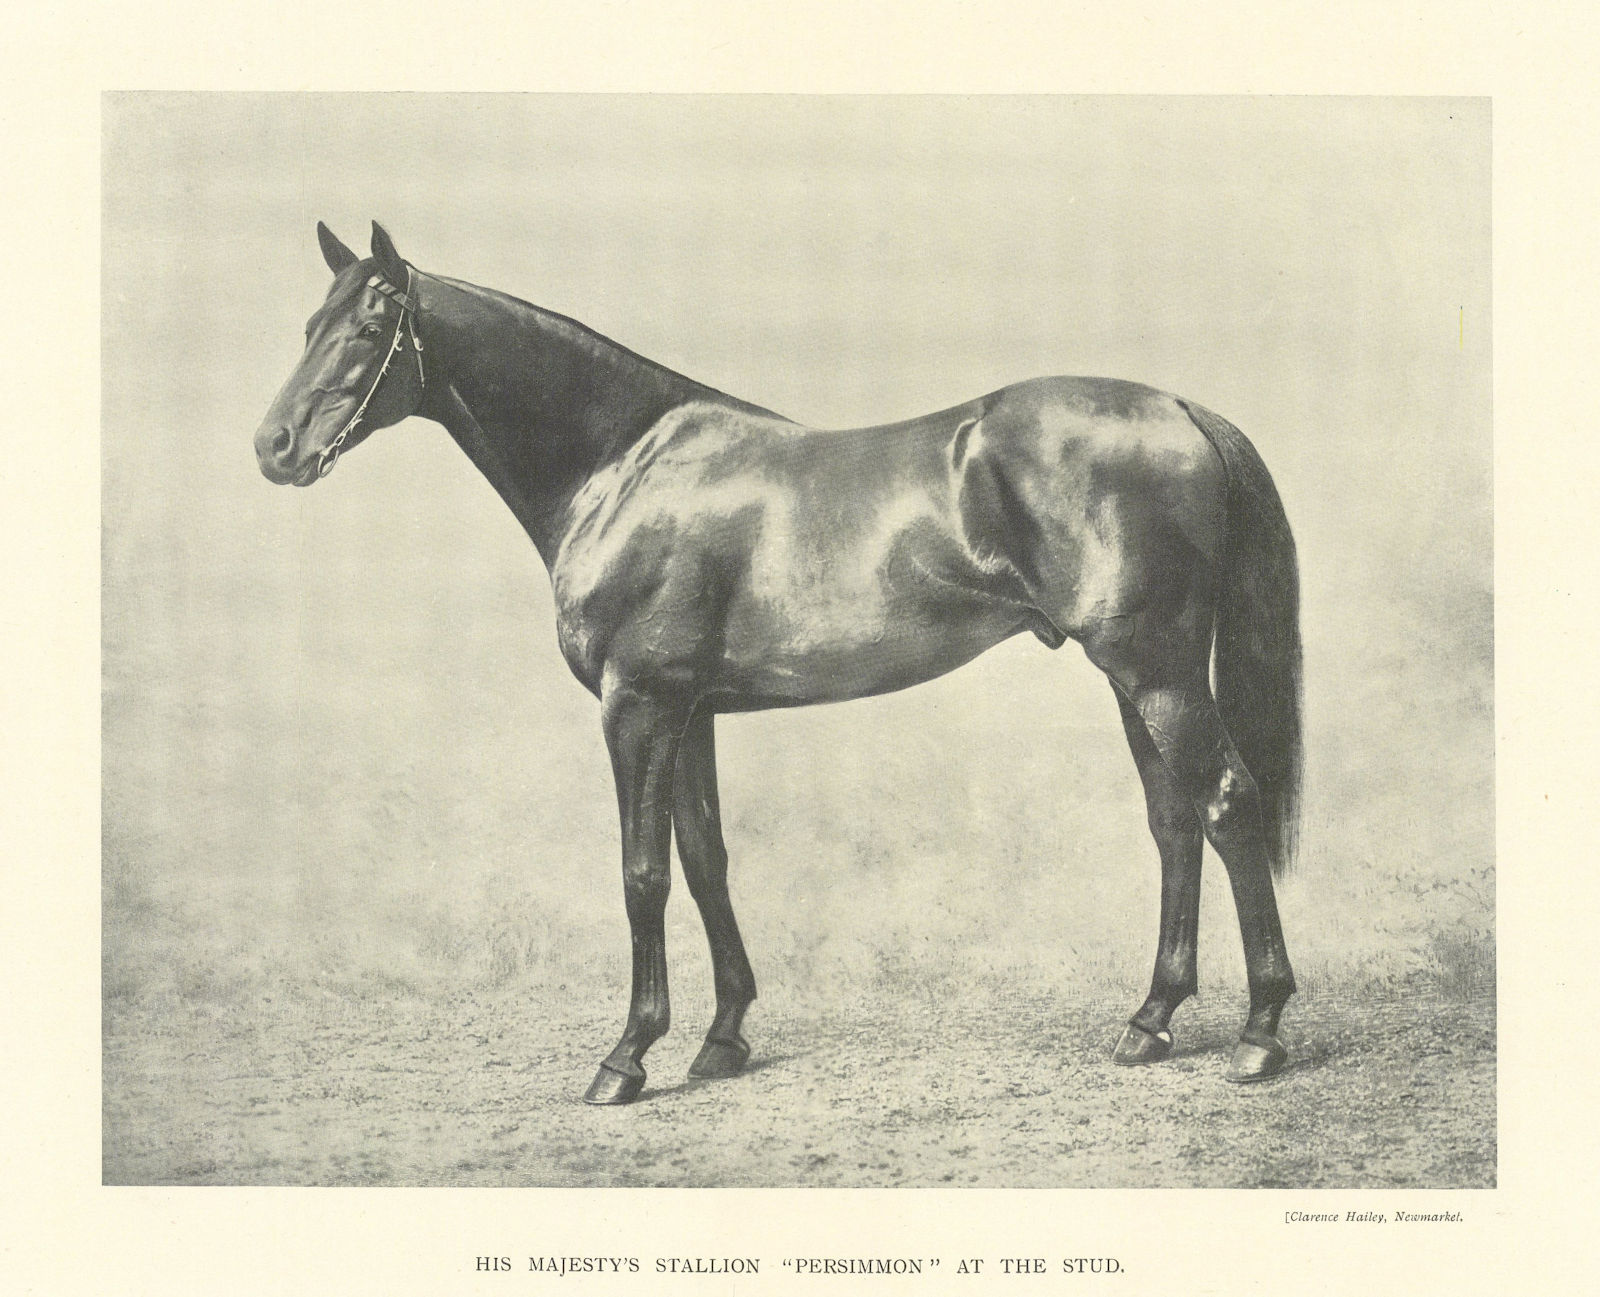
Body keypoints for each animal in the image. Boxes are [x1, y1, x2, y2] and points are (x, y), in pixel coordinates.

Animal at [249, 223, 1299, 1106]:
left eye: (371, 325)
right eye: (309, 324)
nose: (274, 446)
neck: (623, 466)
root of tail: (1179, 409)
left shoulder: (637, 707)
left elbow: (641, 873)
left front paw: (626, 1057)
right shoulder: (693, 710)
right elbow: (706, 859)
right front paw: (722, 1038)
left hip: (1158, 672)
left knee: (1226, 803)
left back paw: (1261, 1033)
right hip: (1132, 676)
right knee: (1174, 823)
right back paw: (1150, 1021)